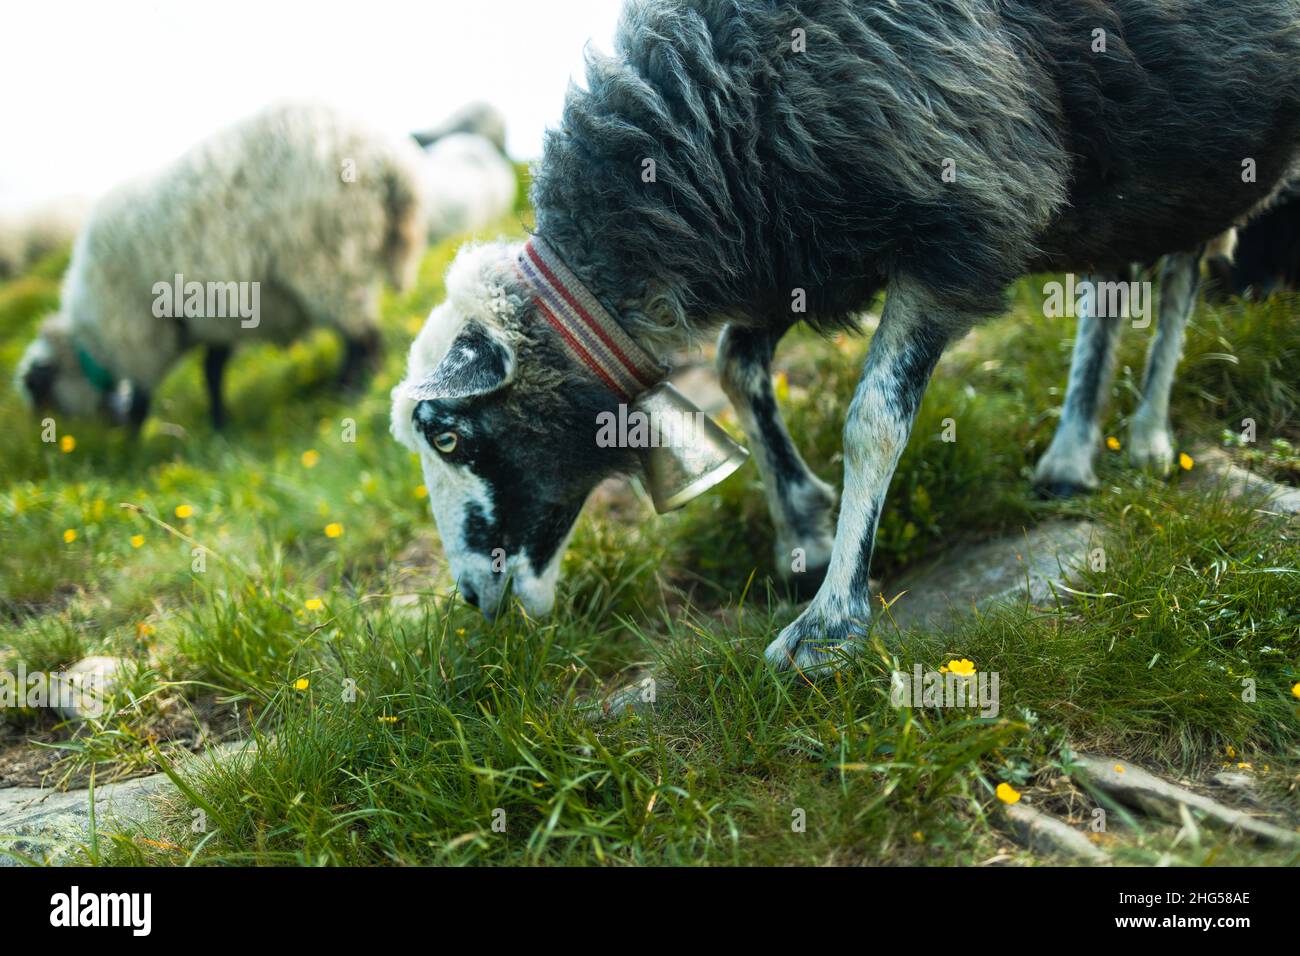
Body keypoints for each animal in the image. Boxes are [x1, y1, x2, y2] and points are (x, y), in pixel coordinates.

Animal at [16, 101, 426, 430]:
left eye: (40, 391)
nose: (102, 432)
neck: (94, 338)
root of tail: (389, 158)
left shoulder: (139, 332)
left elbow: (148, 388)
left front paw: (134, 437)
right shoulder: (215, 321)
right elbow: (212, 370)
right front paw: (219, 424)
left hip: (325, 259)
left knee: (362, 335)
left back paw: (355, 390)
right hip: (346, 259)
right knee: (356, 331)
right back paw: (347, 385)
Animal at [393, 0, 1300, 671]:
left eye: (446, 434)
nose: (472, 599)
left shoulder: (965, 217)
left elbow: (874, 420)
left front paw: (829, 623)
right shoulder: (793, 239)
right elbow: (735, 364)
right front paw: (801, 530)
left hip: (1207, 157)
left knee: (1179, 276)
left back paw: (1145, 438)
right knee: (1115, 286)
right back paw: (1073, 454)